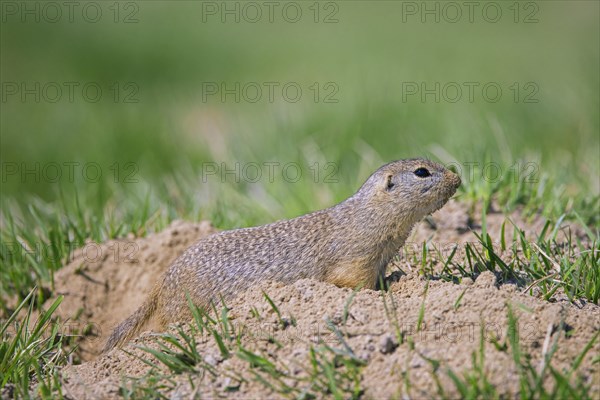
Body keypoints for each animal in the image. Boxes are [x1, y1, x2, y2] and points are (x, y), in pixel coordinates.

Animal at [103, 158, 460, 352]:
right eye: (422, 172)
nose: (457, 177)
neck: (369, 214)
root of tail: (163, 281)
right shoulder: (356, 259)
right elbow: (353, 282)